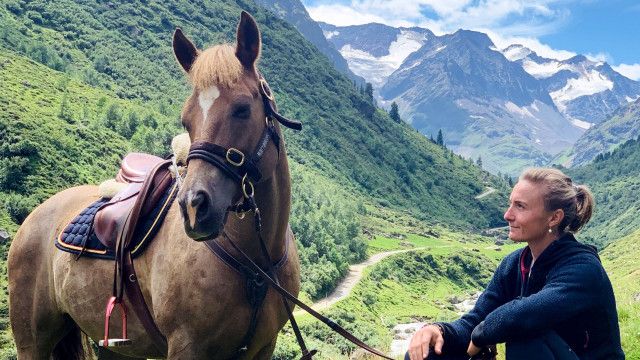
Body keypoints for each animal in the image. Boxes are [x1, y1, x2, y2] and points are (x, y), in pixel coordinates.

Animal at [7, 11, 302, 360]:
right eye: (187, 119)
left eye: (243, 109)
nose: (194, 207)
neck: (256, 265)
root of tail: (34, 217)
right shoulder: (187, 347)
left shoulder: (262, 348)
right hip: (32, 343)